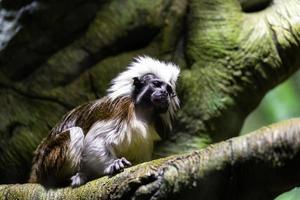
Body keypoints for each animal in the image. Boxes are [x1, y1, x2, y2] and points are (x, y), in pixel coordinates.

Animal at [28, 55, 180, 188]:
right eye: (156, 84)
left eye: (168, 89)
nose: (164, 93)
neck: (140, 112)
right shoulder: (121, 108)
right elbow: (95, 139)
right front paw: (112, 164)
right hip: (47, 161)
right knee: (75, 132)